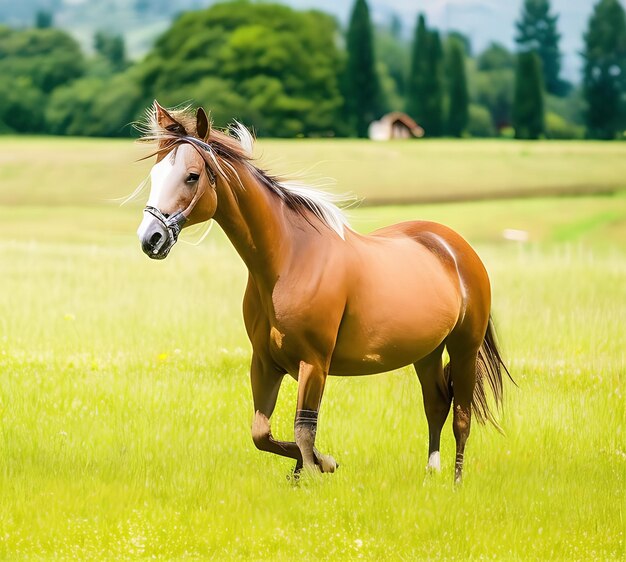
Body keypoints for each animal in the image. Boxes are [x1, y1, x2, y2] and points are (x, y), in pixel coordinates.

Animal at [134, 100, 510, 482]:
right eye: (155, 175)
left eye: (192, 176)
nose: (151, 239)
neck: (289, 261)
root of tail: (455, 247)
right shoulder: (265, 363)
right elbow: (262, 433)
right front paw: (311, 466)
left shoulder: (313, 363)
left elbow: (304, 430)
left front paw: (319, 466)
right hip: (428, 352)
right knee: (436, 404)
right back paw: (430, 474)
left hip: (464, 348)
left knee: (461, 416)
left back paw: (455, 483)